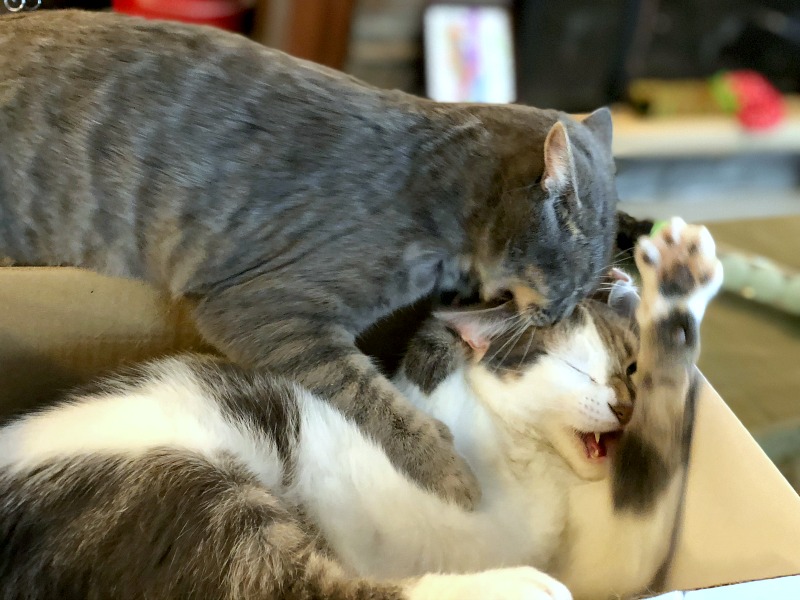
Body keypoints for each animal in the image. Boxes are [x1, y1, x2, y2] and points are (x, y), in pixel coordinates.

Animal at [0, 9, 628, 506]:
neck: (446, 186)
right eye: (571, 282)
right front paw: (450, 471)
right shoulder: (270, 313)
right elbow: (367, 391)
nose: (558, 313)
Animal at [0, 221, 724, 600]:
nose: (623, 403)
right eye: (580, 369)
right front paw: (677, 283)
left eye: (627, 368)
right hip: (188, 493)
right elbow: (657, 460)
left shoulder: (605, 564)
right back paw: (518, 586)